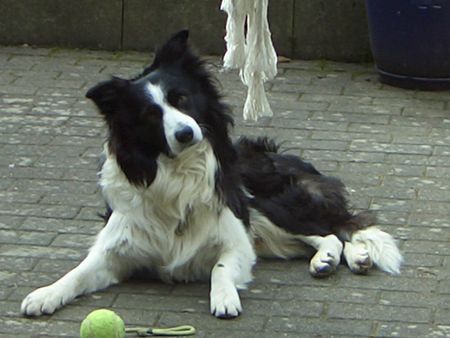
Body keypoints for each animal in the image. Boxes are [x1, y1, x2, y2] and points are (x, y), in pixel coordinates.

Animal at [21, 30, 402, 318]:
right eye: (149, 115)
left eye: (182, 99)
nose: (185, 133)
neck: (178, 172)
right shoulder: (115, 250)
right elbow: (78, 272)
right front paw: (46, 294)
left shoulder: (236, 240)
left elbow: (221, 267)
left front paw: (224, 297)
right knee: (322, 234)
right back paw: (339, 258)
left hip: (263, 201)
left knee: (333, 229)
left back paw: (346, 256)